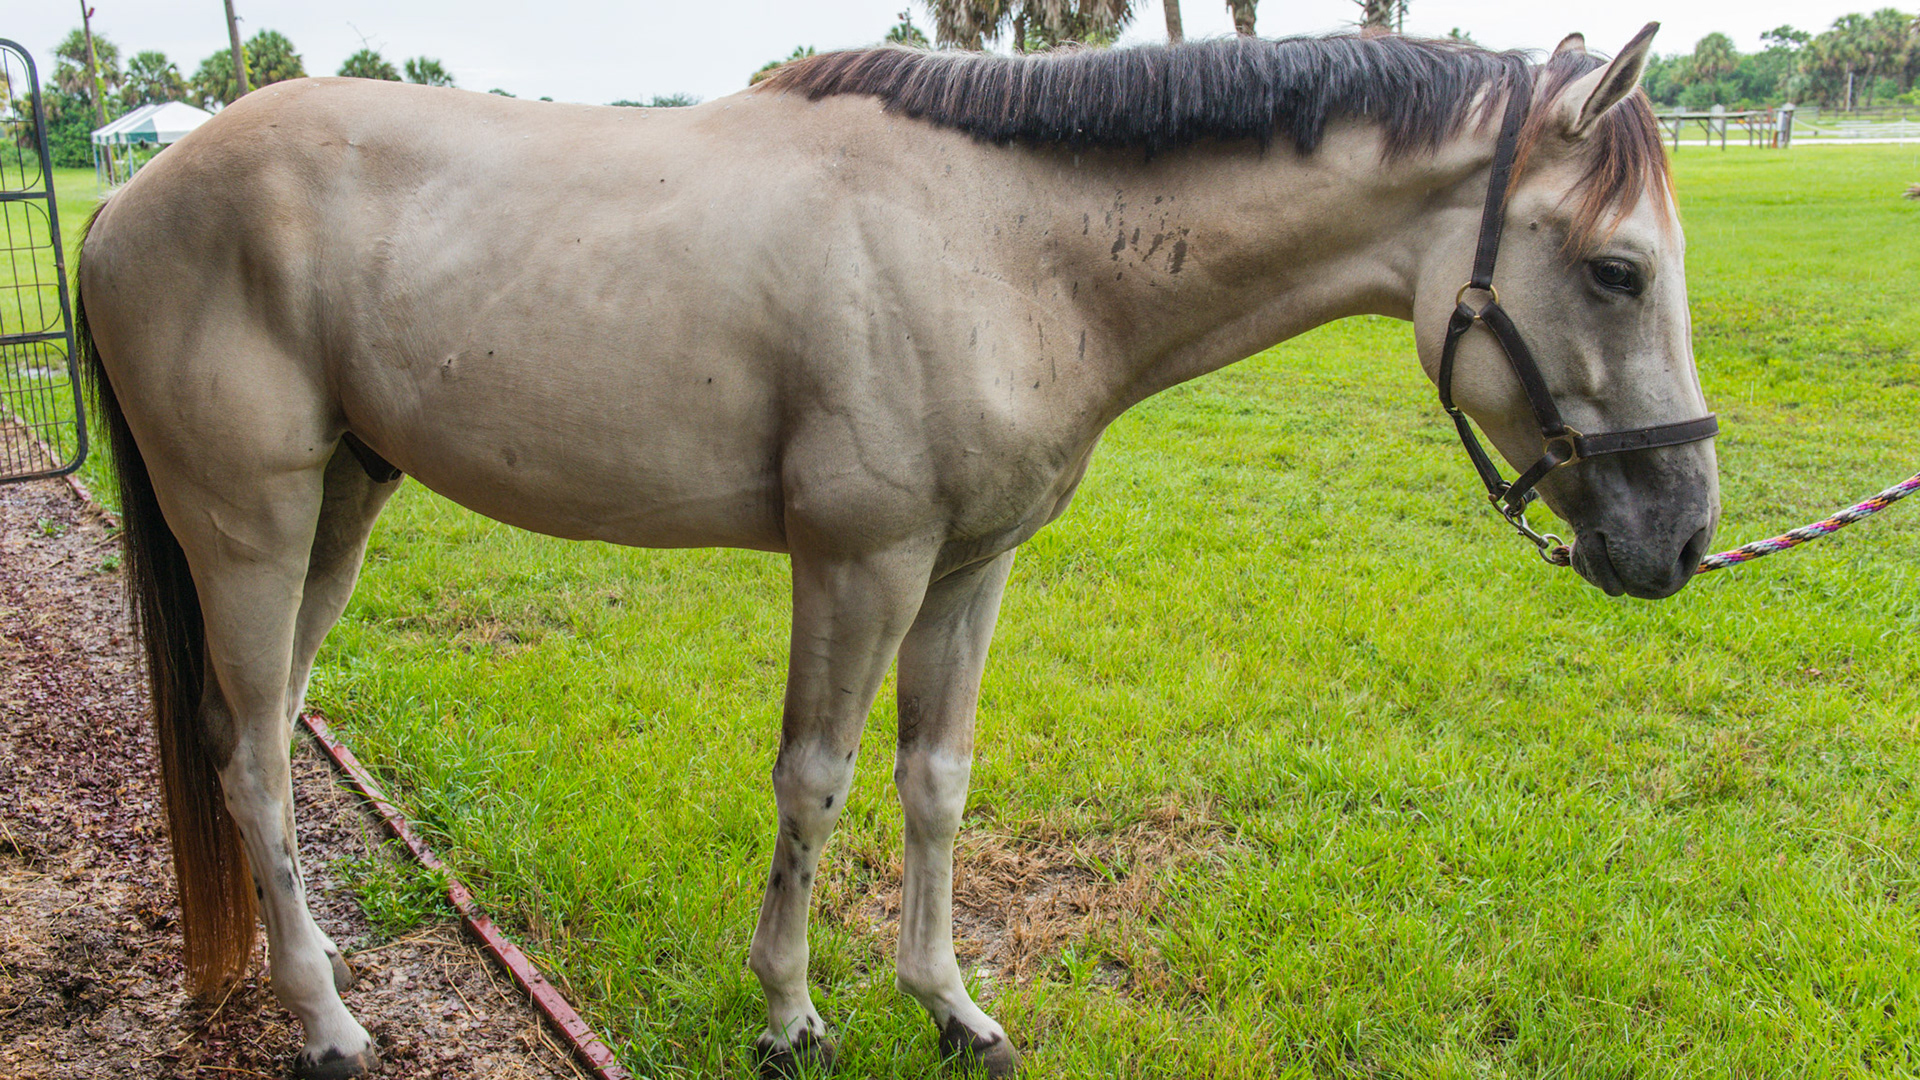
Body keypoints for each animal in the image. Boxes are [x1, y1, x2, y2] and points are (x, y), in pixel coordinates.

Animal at [77, 26, 1717, 1078]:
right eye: (1617, 271)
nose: (1683, 536)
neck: (1001, 238)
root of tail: (127, 196)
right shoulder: (857, 563)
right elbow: (816, 780)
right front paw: (790, 1015)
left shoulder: (970, 566)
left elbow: (935, 780)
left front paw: (948, 1005)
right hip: (251, 529)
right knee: (253, 757)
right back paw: (326, 1025)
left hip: (342, 513)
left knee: (263, 732)